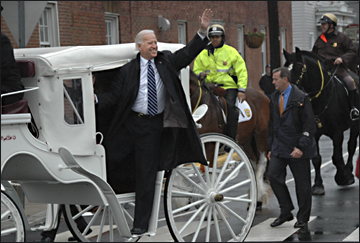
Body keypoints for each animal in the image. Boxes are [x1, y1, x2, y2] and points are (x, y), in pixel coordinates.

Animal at [190, 70, 272, 207]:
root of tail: (263, 96)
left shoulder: (211, 144)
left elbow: (210, 171)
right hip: (247, 141)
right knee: (254, 163)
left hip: (261, 134)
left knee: (262, 162)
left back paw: (259, 196)